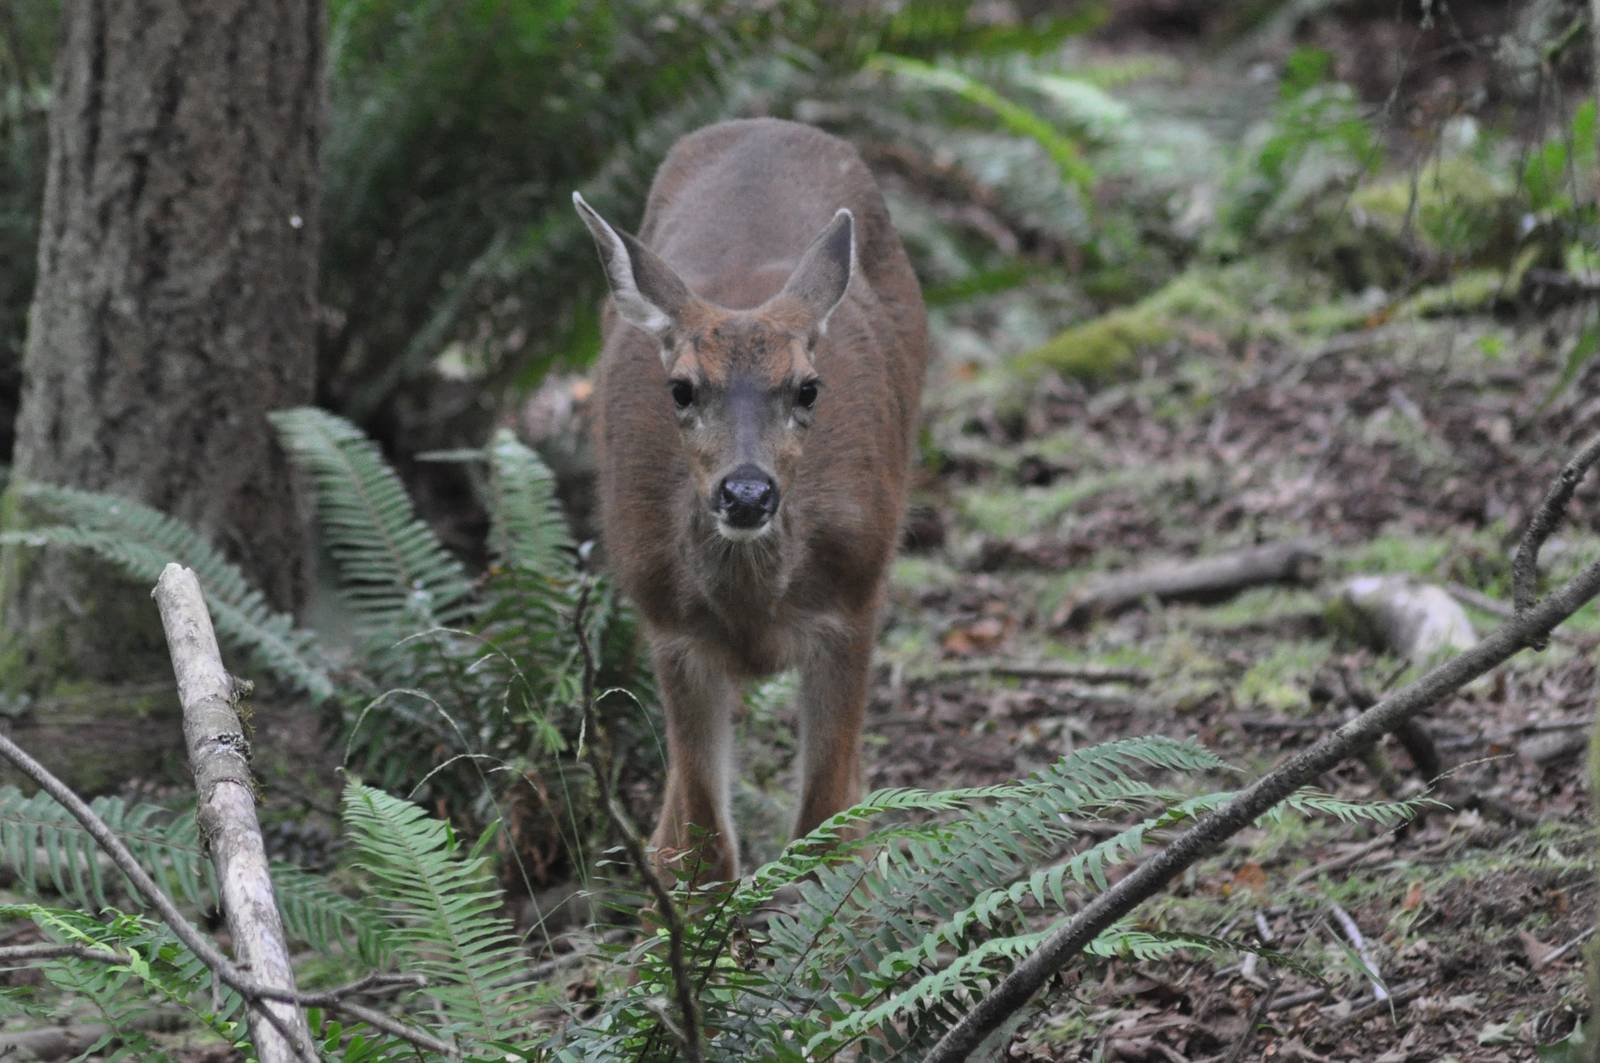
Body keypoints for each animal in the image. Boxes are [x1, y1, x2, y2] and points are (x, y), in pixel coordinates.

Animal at [572, 118, 928, 884]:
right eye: (680, 388)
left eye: (808, 388)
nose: (745, 491)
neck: (752, 612)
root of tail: (766, 123)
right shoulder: (669, 626)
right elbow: (705, 845)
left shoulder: (853, 602)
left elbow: (823, 826)